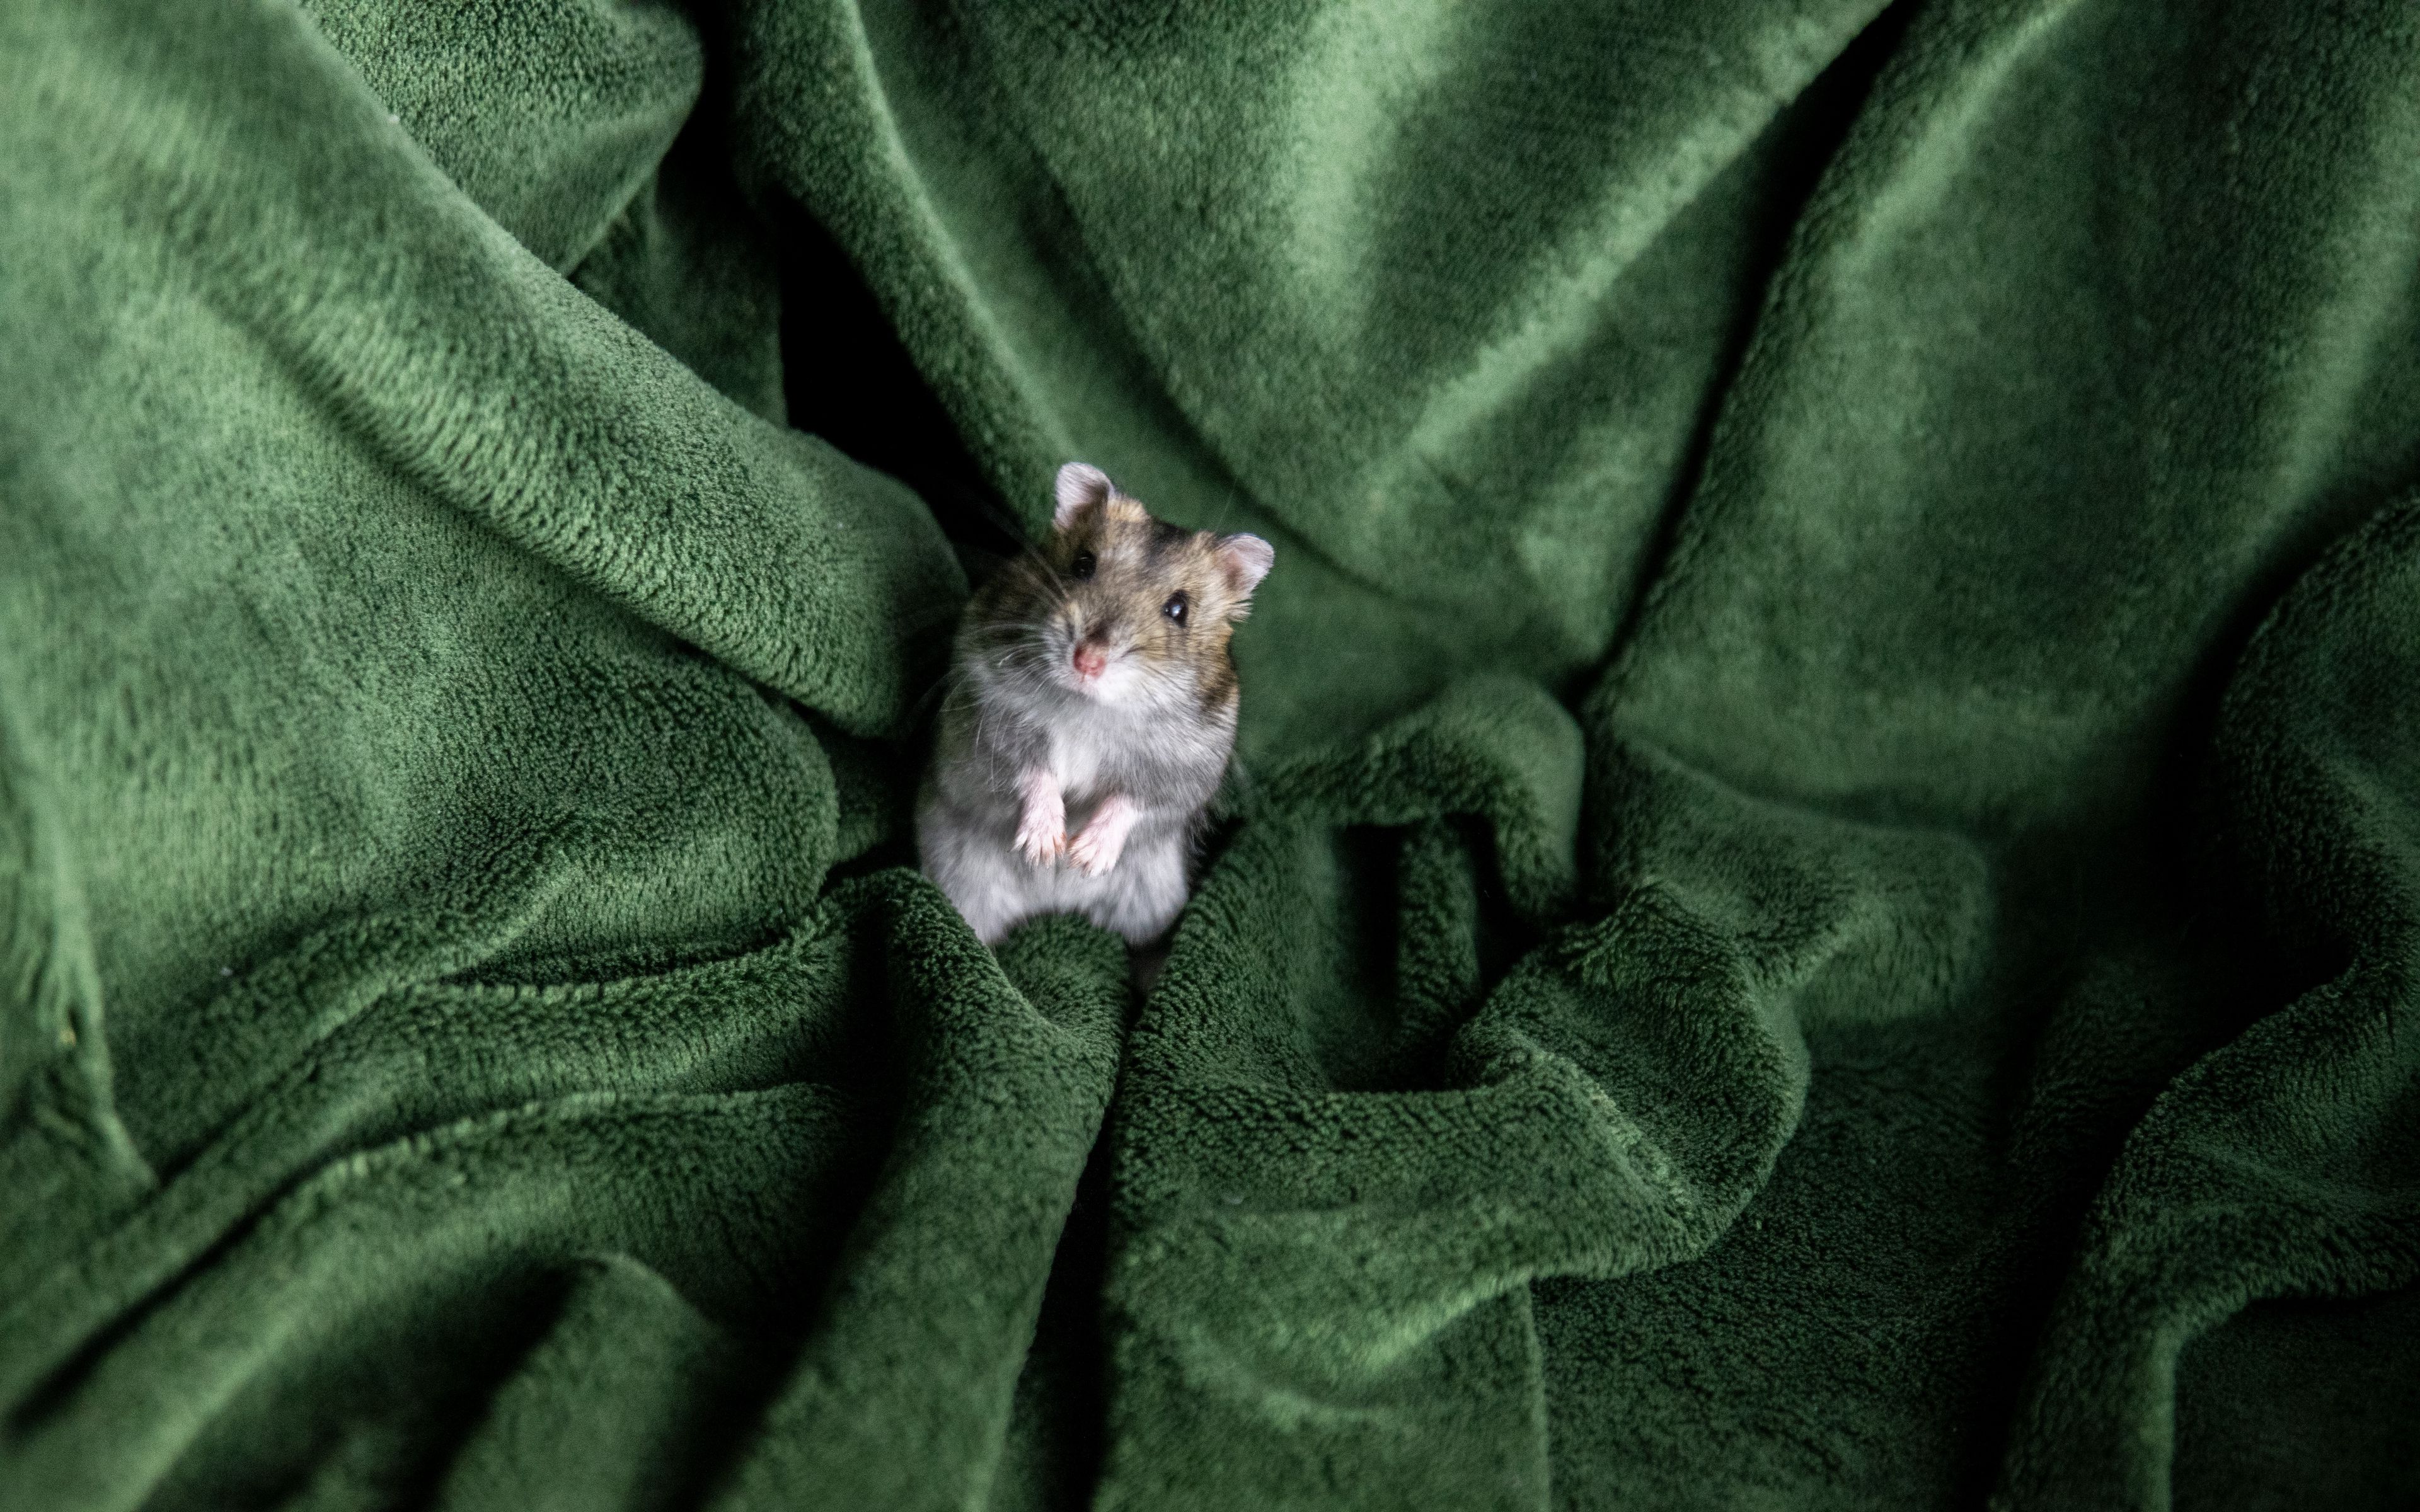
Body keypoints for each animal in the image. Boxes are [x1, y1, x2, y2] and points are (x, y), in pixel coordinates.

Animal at [916, 462, 1274, 947]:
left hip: (1152, 900)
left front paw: (1084, 857)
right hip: (961, 883)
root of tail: (1052, 906)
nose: (1087, 661)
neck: (1089, 709)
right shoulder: (989, 716)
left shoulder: (1187, 766)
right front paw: (1046, 849)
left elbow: (1134, 799)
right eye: (1083, 565)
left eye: (1178, 609)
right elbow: (1032, 770)